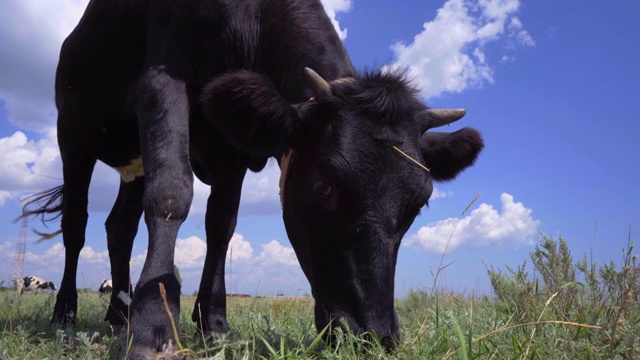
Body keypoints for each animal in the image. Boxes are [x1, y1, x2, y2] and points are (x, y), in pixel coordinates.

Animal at [21, 0, 484, 356]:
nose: (372, 337)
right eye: (324, 187)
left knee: (119, 228)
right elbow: (172, 191)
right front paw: (154, 327)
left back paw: (119, 314)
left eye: (418, 204)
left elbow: (221, 226)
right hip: (71, 134)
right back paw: (66, 312)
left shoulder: (235, 148)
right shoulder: (161, 80)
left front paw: (213, 322)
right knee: (76, 224)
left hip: (131, 164)